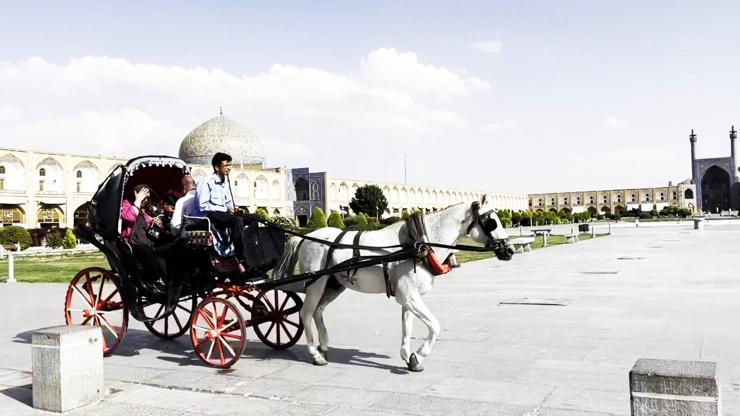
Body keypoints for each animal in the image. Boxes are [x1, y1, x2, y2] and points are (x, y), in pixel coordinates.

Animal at [274, 195, 516, 370]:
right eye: (492, 222)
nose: (510, 250)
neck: (418, 243)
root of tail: (305, 238)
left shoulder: (408, 296)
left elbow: (406, 326)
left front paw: (408, 356)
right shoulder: (408, 295)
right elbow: (434, 325)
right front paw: (419, 355)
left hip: (333, 284)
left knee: (318, 311)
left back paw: (323, 346)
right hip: (315, 282)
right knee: (306, 313)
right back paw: (315, 354)